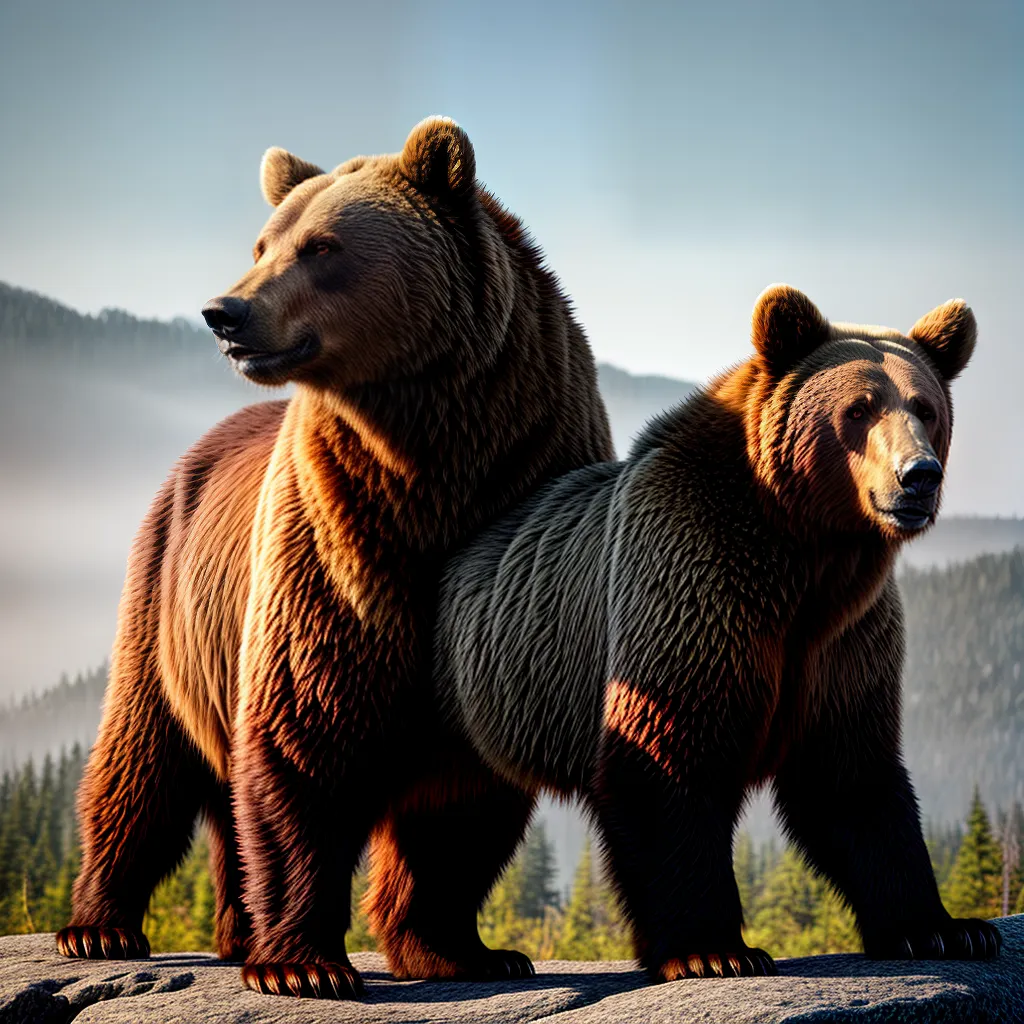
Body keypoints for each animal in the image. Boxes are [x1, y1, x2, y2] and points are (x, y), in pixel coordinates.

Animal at [55, 117, 613, 999]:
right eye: (261, 242)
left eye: (321, 246)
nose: (225, 311)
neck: (432, 458)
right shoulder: (334, 544)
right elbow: (303, 734)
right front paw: (302, 965)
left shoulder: (518, 529)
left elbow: (463, 791)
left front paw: (465, 949)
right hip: (163, 606)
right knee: (141, 759)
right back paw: (100, 925)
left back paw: (231, 934)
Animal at [435, 284, 1001, 981]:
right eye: (860, 408)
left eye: (925, 407)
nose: (918, 475)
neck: (802, 554)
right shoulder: (692, 587)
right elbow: (670, 761)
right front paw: (714, 950)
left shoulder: (844, 639)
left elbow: (852, 775)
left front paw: (945, 929)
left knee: (459, 822)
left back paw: (457, 950)